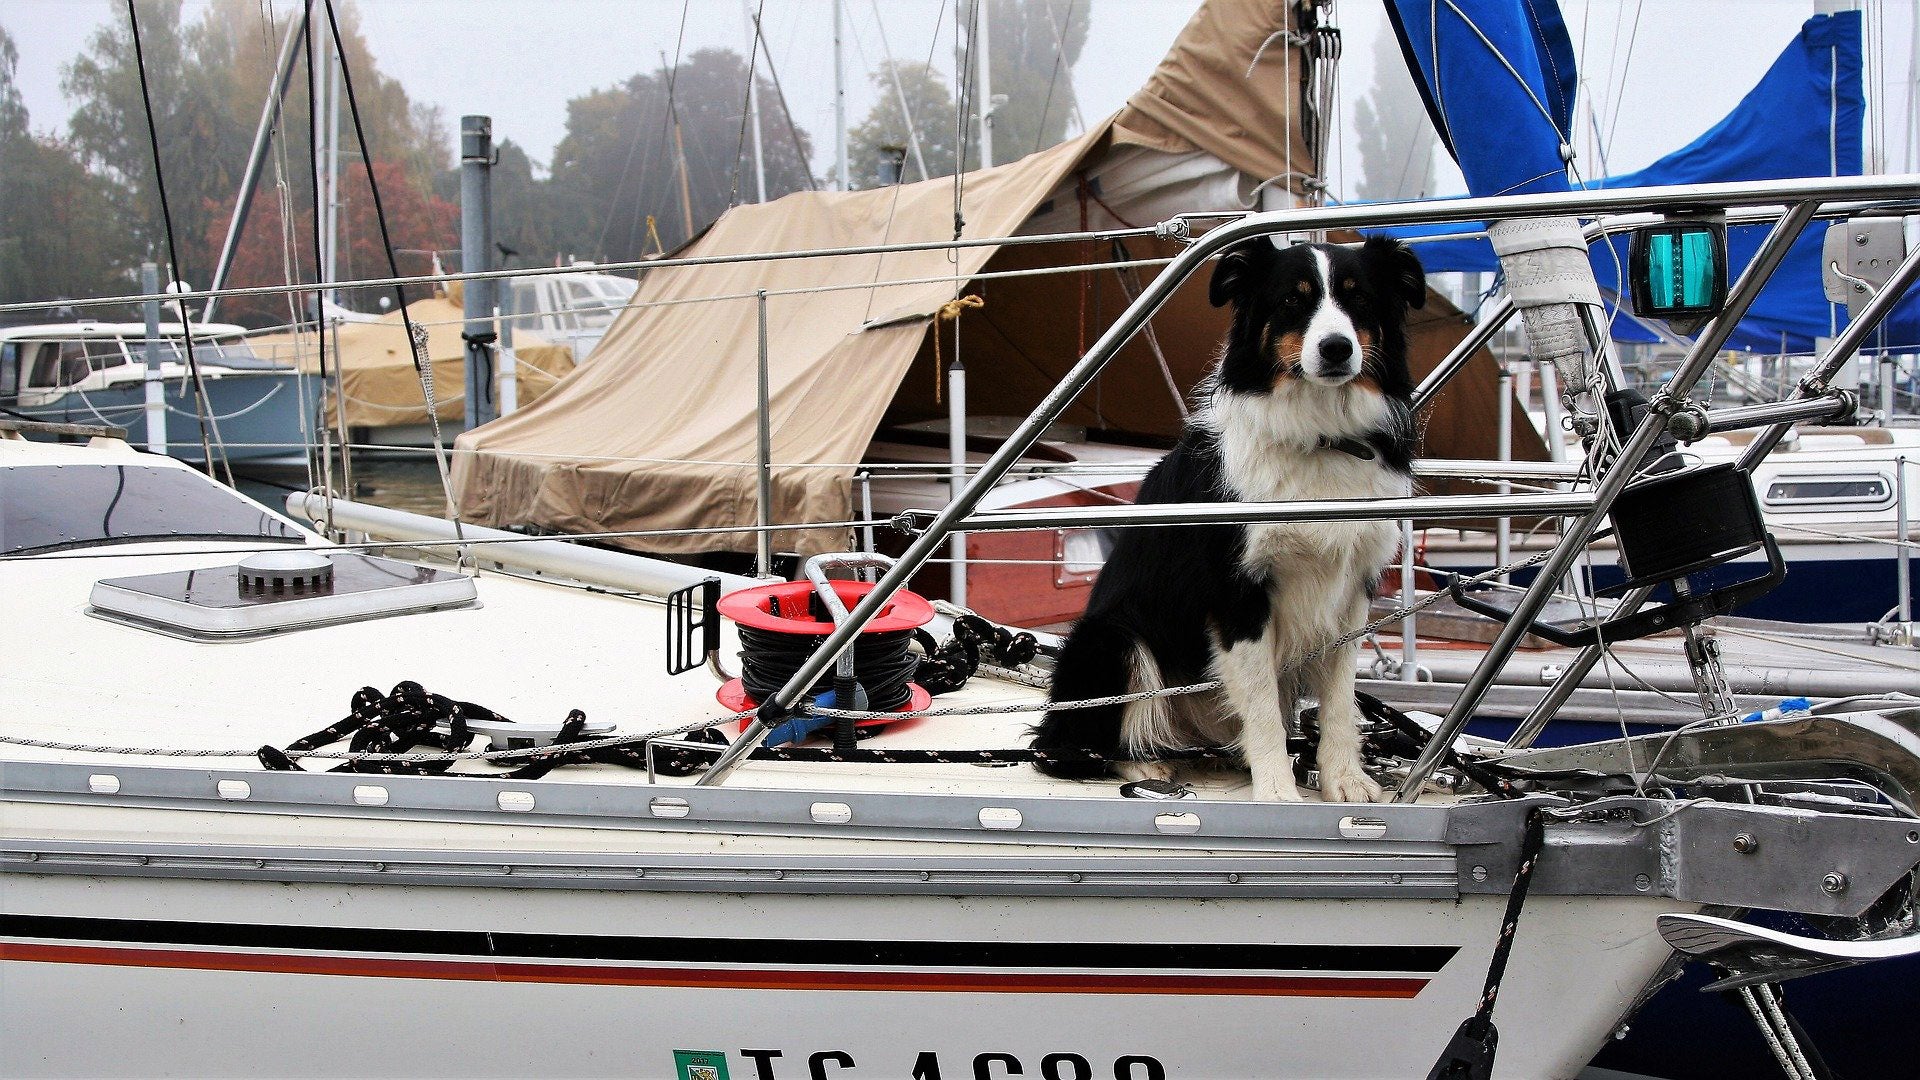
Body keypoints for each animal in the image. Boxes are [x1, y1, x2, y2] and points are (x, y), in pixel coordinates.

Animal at [1036, 237, 1428, 799]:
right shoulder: (1237, 593)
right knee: (1070, 747)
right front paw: (1277, 792)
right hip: (1111, 639)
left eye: (1359, 299)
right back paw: (1146, 765)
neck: (1321, 437)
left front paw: (1344, 780)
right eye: (1292, 300)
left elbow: (1339, 697)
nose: (1336, 348)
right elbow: (1261, 703)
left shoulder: (1352, 587)